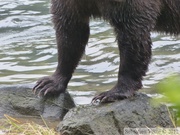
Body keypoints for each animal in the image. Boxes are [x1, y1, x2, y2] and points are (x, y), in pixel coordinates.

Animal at [32, 0, 180, 103]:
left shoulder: (130, 6)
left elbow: (132, 34)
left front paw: (111, 93)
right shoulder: (72, 5)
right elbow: (70, 30)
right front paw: (48, 83)